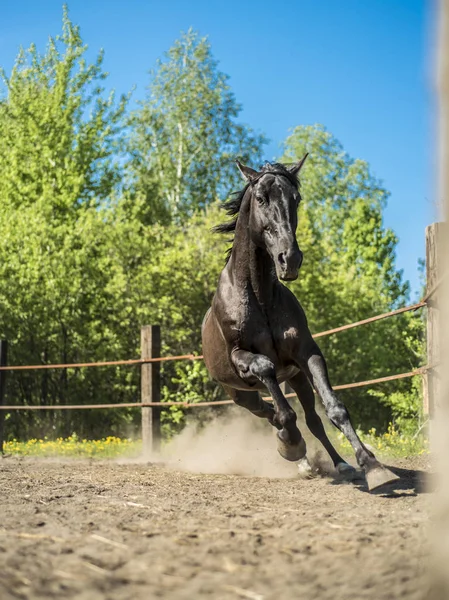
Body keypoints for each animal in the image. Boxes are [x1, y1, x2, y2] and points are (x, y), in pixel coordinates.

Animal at [201, 157, 398, 490]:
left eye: (296, 198)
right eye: (260, 198)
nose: (289, 259)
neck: (259, 296)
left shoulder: (306, 353)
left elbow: (334, 409)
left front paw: (372, 465)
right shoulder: (241, 357)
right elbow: (267, 373)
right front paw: (290, 443)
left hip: (295, 378)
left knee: (311, 419)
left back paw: (338, 464)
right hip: (240, 393)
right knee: (268, 410)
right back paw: (293, 447)